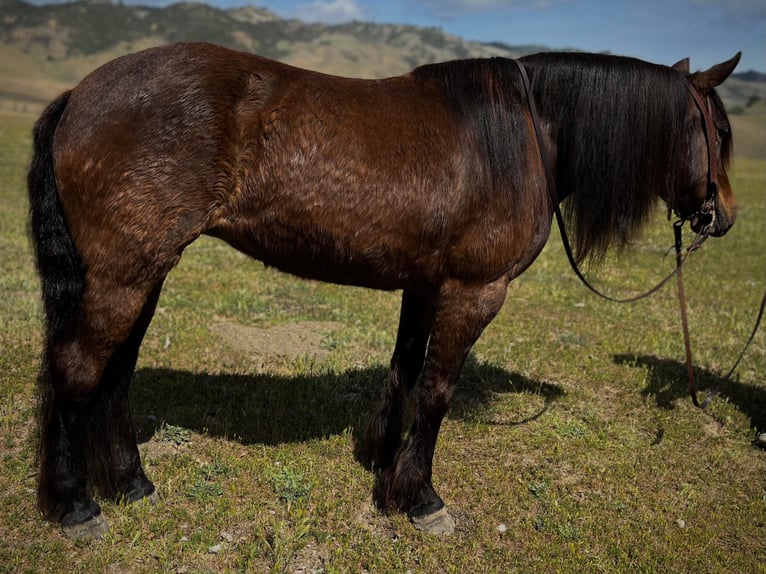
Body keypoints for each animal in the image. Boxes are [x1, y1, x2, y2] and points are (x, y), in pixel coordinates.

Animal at [27, 41, 740, 540]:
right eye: (723, 133)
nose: (725, 217)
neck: (525, 134)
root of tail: (80, 93)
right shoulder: (473, 291)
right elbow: (438, 390)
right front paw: (421, 498)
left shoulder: (424, 285)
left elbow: (404, 372)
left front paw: (383, 467)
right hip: (125, 274)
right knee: (77, 369)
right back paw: (75, 505)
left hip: (145, 272)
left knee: (115, 372)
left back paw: (130, 483)